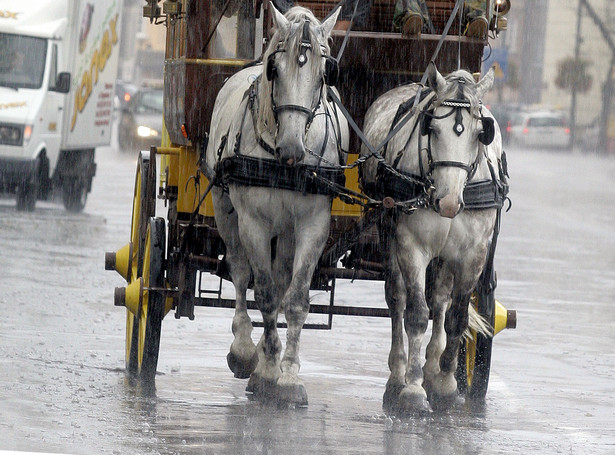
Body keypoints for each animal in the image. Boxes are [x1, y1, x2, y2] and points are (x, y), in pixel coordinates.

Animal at [206, 4, 346, 406]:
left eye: (324, 73)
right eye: (275, 70)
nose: (292, 150)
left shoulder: (314, 223)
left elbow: (294, 299)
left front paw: (288, 376)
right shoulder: (253, 221)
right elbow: (264, 293)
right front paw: (264, 370)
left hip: (287, 230)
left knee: (282, 275)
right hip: (225, 209)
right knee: (240, 271)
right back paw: (244, 348)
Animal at [360, 64, 506, 416]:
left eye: (480, 133)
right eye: (433, 130)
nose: (448, 203)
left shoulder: (472, 255)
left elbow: (456, 318)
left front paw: (445, 384)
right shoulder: (411, 245)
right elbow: (415, 314)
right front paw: (413, 389)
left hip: (447, 258)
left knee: (440, 301)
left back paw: (432, 368)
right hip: (389, 234)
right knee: (397, 300)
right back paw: (398, 377)